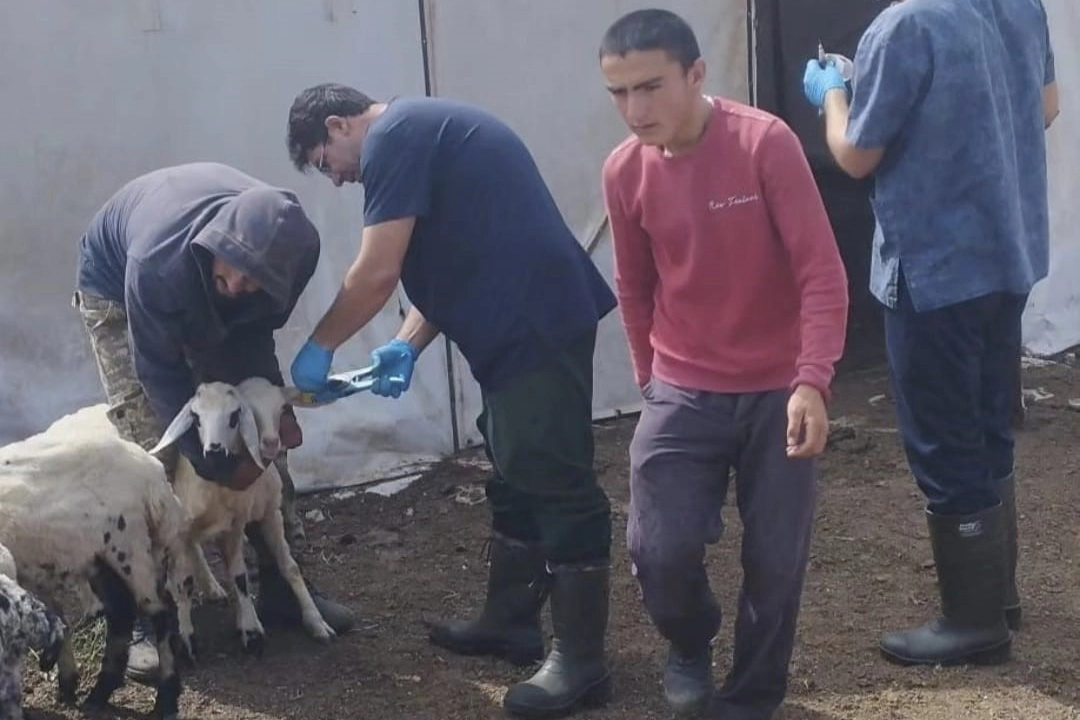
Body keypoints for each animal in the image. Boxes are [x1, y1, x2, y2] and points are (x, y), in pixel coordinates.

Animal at [149, 377, 332, 660]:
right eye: (195, 417)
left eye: (235, 416)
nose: (214, 451)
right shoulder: (181, 530)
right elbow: (185, 583)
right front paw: (188, 639)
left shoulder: (247, 521)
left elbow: (252, 573)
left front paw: (256, 629)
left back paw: (215, 591)